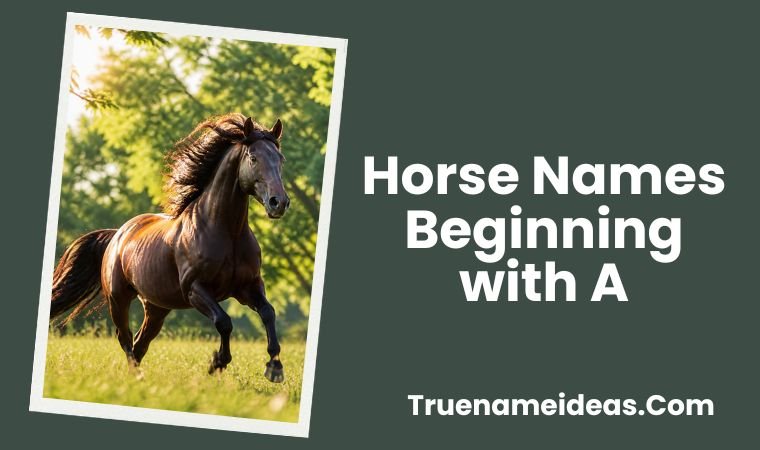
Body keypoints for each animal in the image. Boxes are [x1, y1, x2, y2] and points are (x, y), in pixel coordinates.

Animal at [49, 113, 289, 382]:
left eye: (280, 159)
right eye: (253, 158)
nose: (279, 203)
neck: (227, 233)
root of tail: (117, 235)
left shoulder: (248, 286)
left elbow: (268, 312)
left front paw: (275, 367)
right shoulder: (195, 289)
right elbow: (224, 321)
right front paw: (217, 362)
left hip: (157, 308)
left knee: (140, 343)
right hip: (118, 299)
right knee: (125, 338)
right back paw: (137, 378)